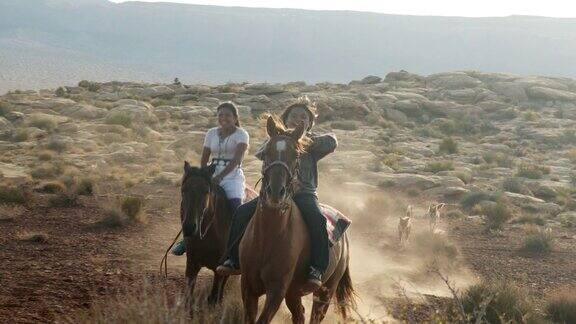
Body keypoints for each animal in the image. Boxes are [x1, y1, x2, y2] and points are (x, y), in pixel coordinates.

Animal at [180, 162, 234, 306]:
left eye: (206, 191)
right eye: (183, 190)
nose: (189, 227)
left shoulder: (218, 271)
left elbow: (212, 298)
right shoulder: (191, 265)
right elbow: (188, 299)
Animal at [238, 117, 356, 324]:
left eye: (296, 155)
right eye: (266, 152)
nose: (275, 193)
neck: (269, 235)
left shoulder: (277, 290)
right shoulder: (248, 286)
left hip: (325, 292)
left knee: (315, 315)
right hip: (294, 293)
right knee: (299, 314)